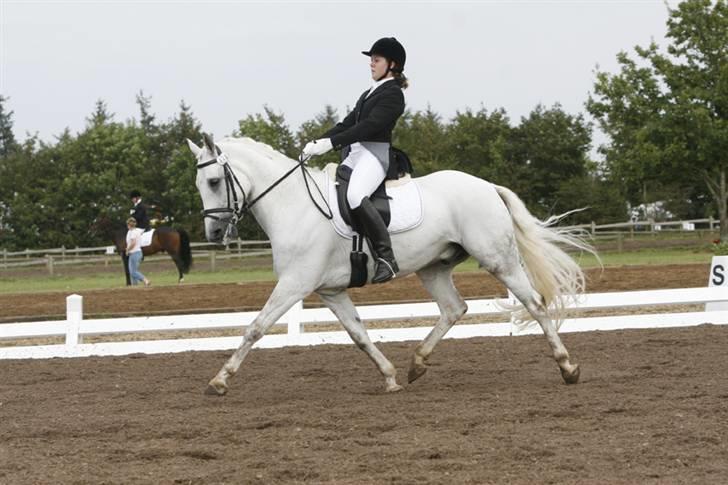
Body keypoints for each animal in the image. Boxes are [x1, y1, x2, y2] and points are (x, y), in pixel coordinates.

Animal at [187, 134, 594, 396]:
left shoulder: (295, 283)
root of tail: (487, 186)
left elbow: (255, 328)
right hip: (433, 267)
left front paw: (219, 381)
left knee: (535, 305)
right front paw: (390, 377)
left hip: (499, 260)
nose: (214, 232)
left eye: (214, 181)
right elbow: (359, 334)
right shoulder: (330, 291)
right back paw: (417, 363)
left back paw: (568, 368)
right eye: (199, 184)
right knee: (454, 308)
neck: (294, 205)